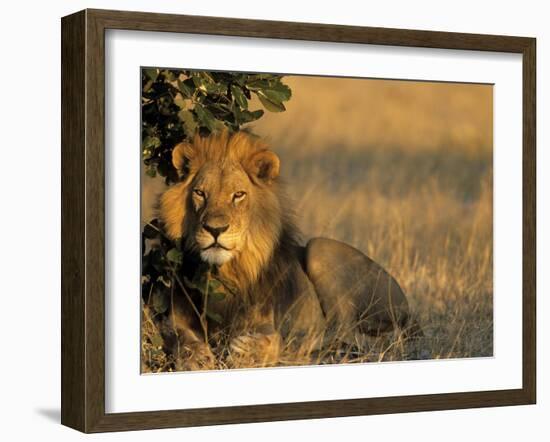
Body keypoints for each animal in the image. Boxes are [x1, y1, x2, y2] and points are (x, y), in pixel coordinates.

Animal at [155, 130, 418, 370]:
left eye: (238, 195)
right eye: (200, 193)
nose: (215, 229)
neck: (223, 272)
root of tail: (409, 310)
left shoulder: (264, 320)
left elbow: (271, 340)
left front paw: (248, 349)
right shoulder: (175, 316)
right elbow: (180, 337)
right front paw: (197, 358)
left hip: (321, 248)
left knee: (345, 337)